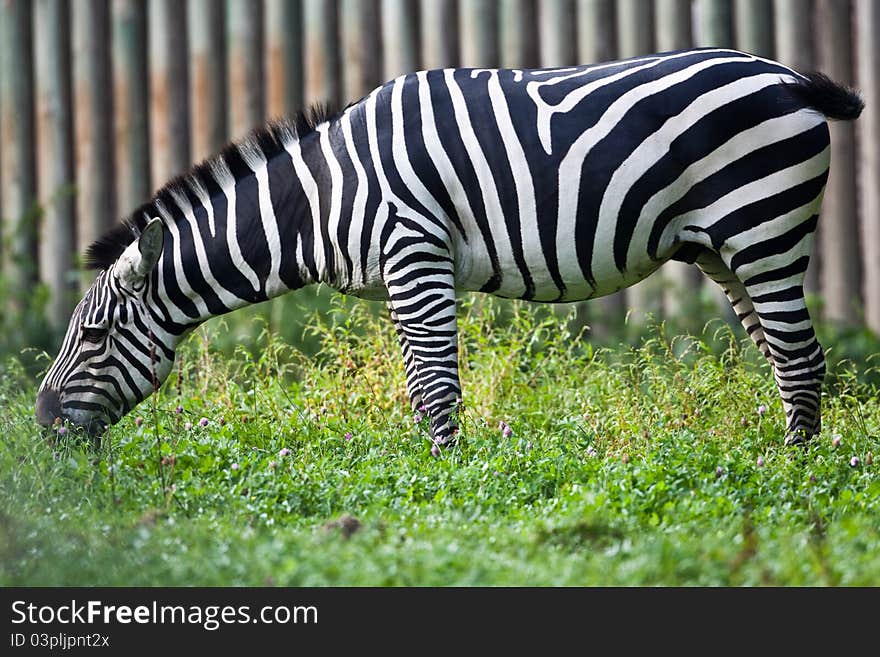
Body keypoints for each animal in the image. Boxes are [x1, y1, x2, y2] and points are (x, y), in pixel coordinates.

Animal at [34, 48, 860, 452]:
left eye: (94, 335)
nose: (40, 423)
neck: (324, 196)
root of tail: (788, 75)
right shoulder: (403, 272)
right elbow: (419, 381)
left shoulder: (416, 252)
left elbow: (435, 385)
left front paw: (445, 477)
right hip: (726, 248)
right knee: (782, 355)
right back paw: (788, 453)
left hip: (763, 229)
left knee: (801, 354)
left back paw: (794, 474)